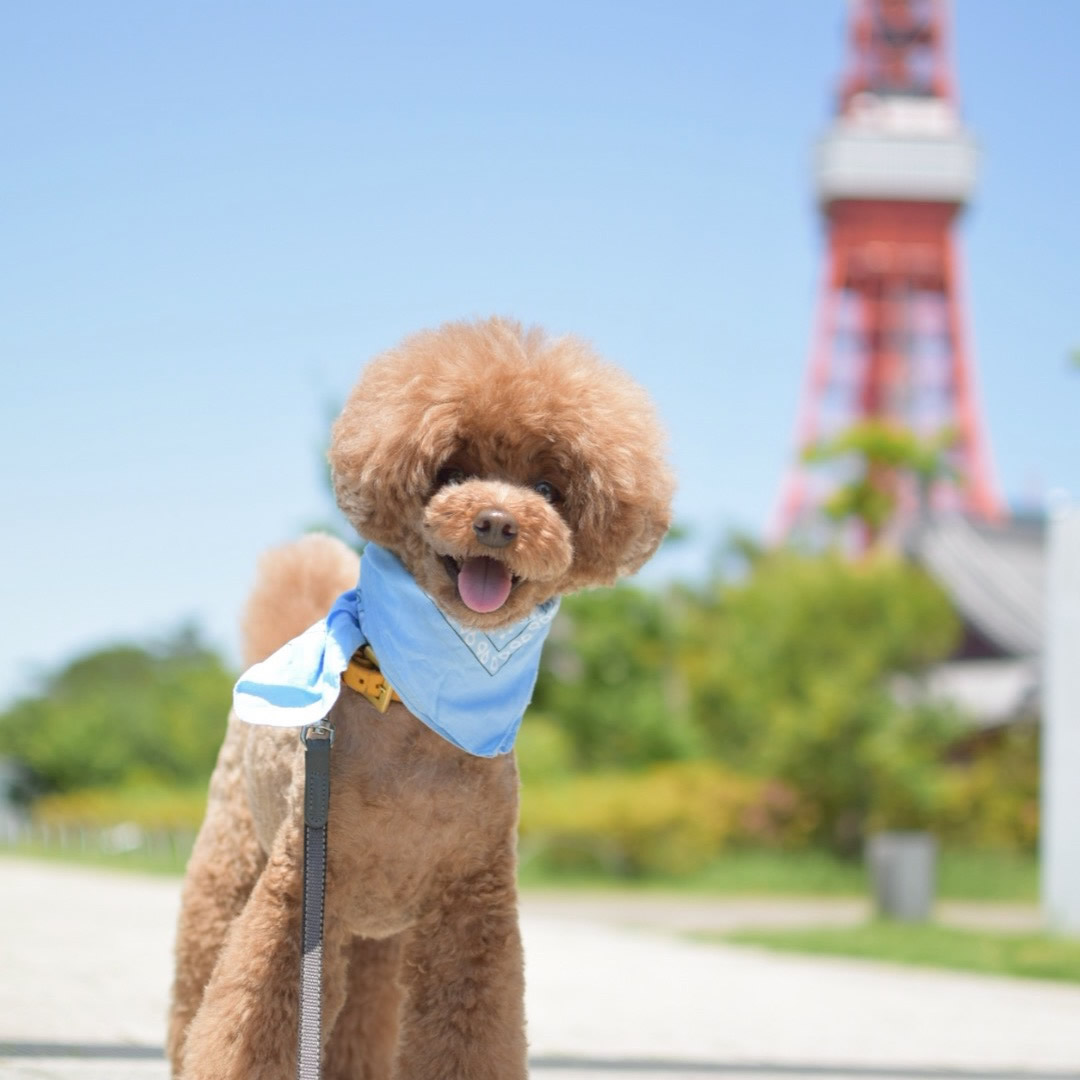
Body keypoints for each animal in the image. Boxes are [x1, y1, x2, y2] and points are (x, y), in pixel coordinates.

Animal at [166, 317, 673, 1080]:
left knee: (359, 1023)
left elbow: (471, 1032)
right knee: (199, 983)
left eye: (548, 487)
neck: (417, 709)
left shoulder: (472, 908)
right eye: (452, 471)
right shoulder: (301, 894)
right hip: (237, 870)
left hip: (376, 938)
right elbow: (247, 1029)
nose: (496, 521)